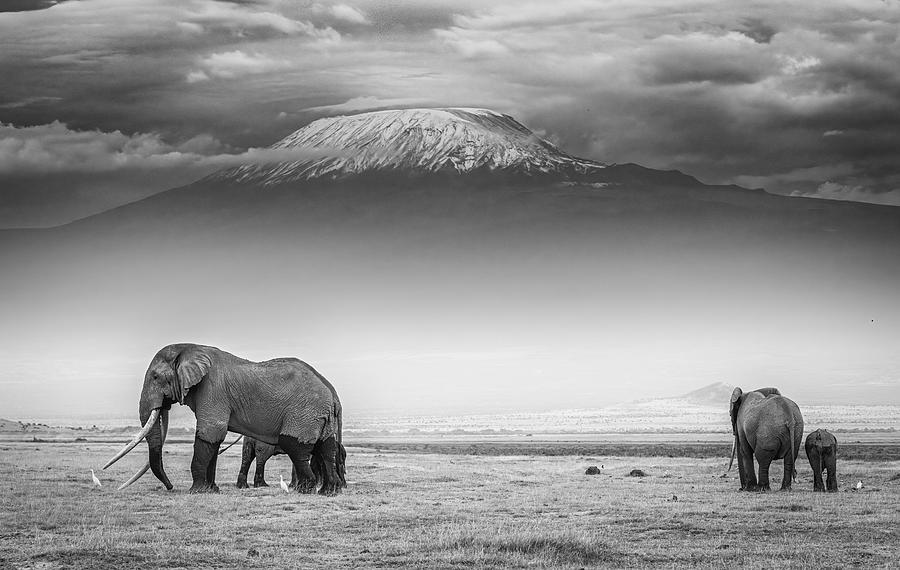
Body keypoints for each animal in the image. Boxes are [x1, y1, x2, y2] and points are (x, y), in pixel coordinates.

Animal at [103, 342, 346, 492]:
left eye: (155, 377)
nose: (171, 487)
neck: (190, 348)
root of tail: (332, 395)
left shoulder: (212, 389)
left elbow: (210, 433)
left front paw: (196, 491)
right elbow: (214, 440)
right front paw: (211, 490)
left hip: (304, 413)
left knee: (296, 446)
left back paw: (306, 490)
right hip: (320, 416)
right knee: (327, 447)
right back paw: (329, 491)